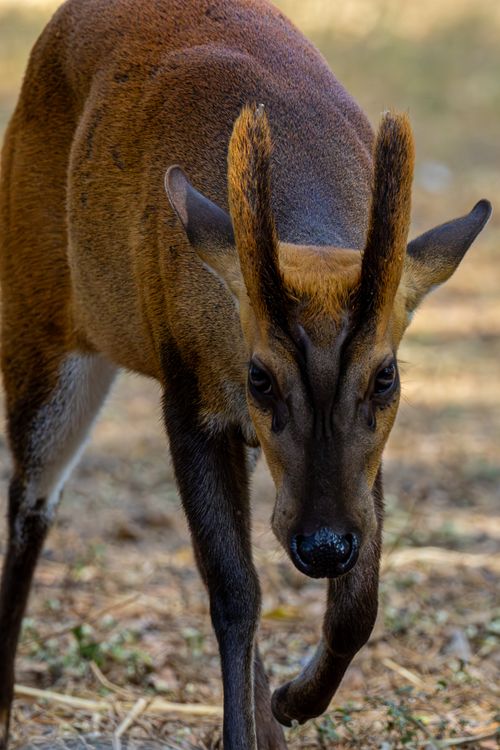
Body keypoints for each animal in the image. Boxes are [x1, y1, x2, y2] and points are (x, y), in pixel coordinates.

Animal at [0, 0, 492, 747]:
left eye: (386, 376)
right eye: (261, 376)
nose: (323, 545)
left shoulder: (358, 453)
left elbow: (361, 602)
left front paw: (292, 701)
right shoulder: (186, 395)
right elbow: (234, 590)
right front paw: (254, 725)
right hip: (39, 321)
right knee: (31, 505)